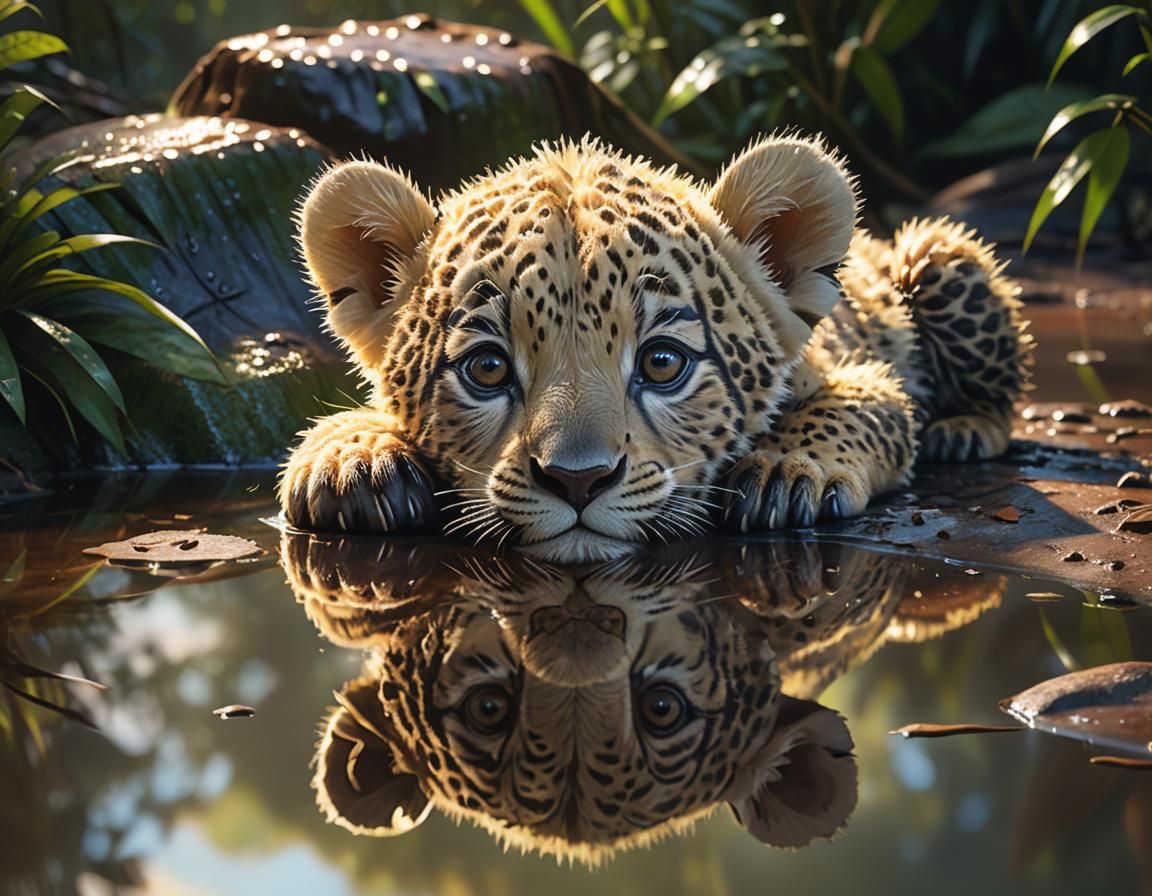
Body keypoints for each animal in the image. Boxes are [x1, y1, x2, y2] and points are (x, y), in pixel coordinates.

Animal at [279, 134, 1032, 562]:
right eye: (486, 369)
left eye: (663, 363)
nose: (577, 480)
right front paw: (352, 460)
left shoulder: (857, 372)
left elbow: (864, 408)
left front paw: (788, 470)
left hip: (939, 255)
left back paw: (964, 430)